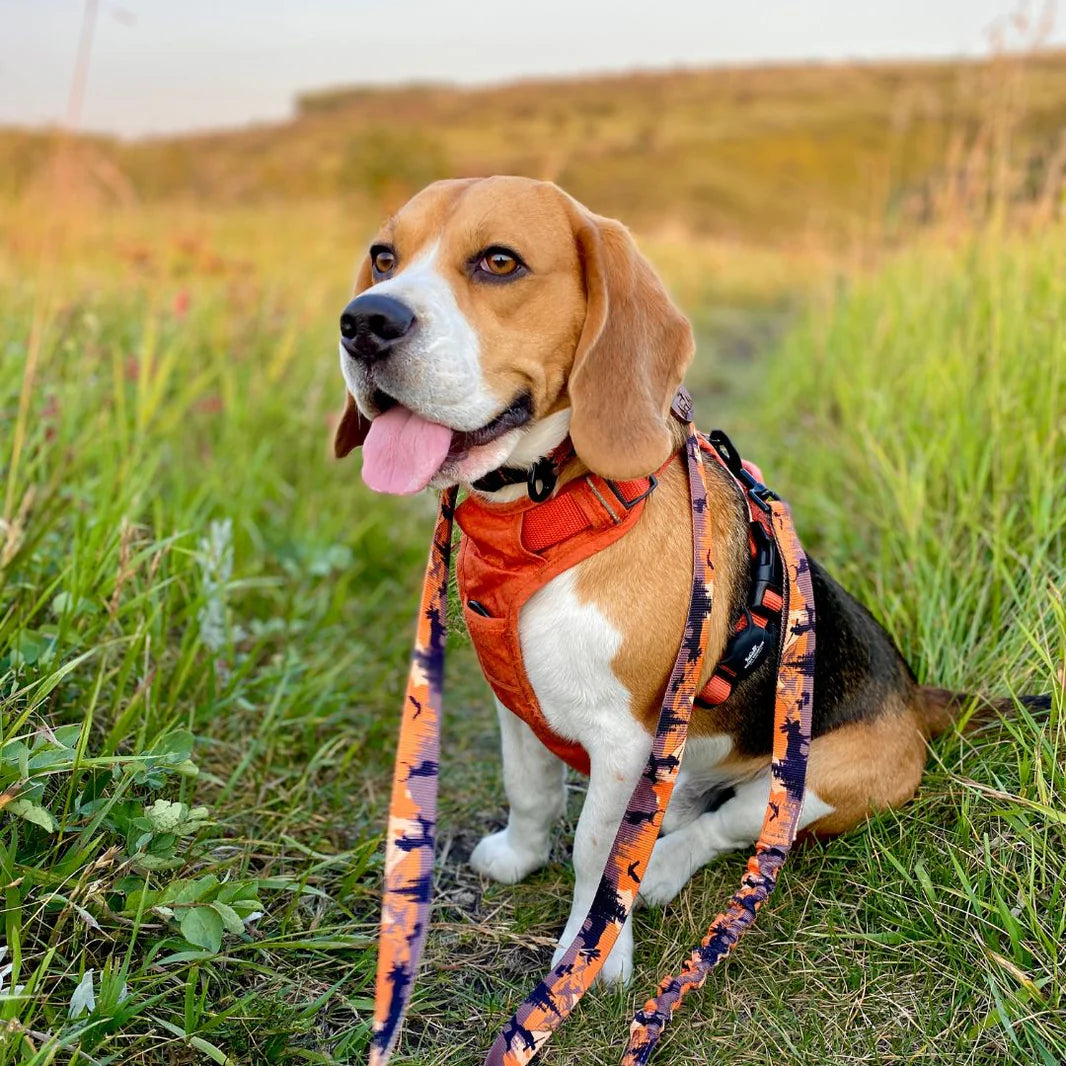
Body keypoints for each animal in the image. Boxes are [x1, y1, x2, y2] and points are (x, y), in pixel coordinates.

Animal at [334, 174, 989, 980]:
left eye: (499, 262)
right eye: (383, 256)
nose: (364, 321)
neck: (542, 516)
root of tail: (915, 699)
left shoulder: (625, 743)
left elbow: (595, 851)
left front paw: (591, 955)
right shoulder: (516, 708)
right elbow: (530, 791)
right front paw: (519, 857)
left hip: (802, 787)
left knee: (724, 830)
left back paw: (662, 871)